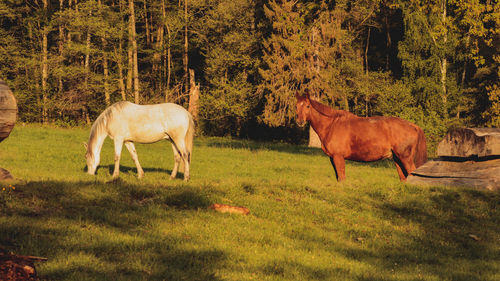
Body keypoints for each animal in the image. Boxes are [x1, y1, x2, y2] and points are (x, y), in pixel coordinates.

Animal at [294, 93, 428, 182]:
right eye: (296, 106)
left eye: (307, 106)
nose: (300, 122)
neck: (332, 124)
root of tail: (414, 126)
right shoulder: (332, 158)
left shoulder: (338, 157)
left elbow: (341, 178)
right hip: (397, 159)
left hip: (405, 158)